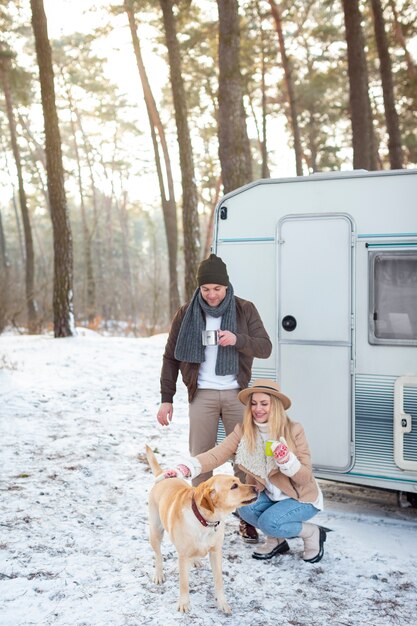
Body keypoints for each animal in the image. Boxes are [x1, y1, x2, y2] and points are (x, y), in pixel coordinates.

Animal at [145, 444, 256, 608]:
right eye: (234, 486)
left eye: (239, 481)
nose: (256, 488)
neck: (205, 521)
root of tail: (163, 476)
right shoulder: (183, 556)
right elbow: (184, 583)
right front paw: (184, 603)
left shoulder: (216, 552)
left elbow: (219, 580)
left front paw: (222, 603)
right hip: (155, 531)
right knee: (158, 555)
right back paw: (159, 574)